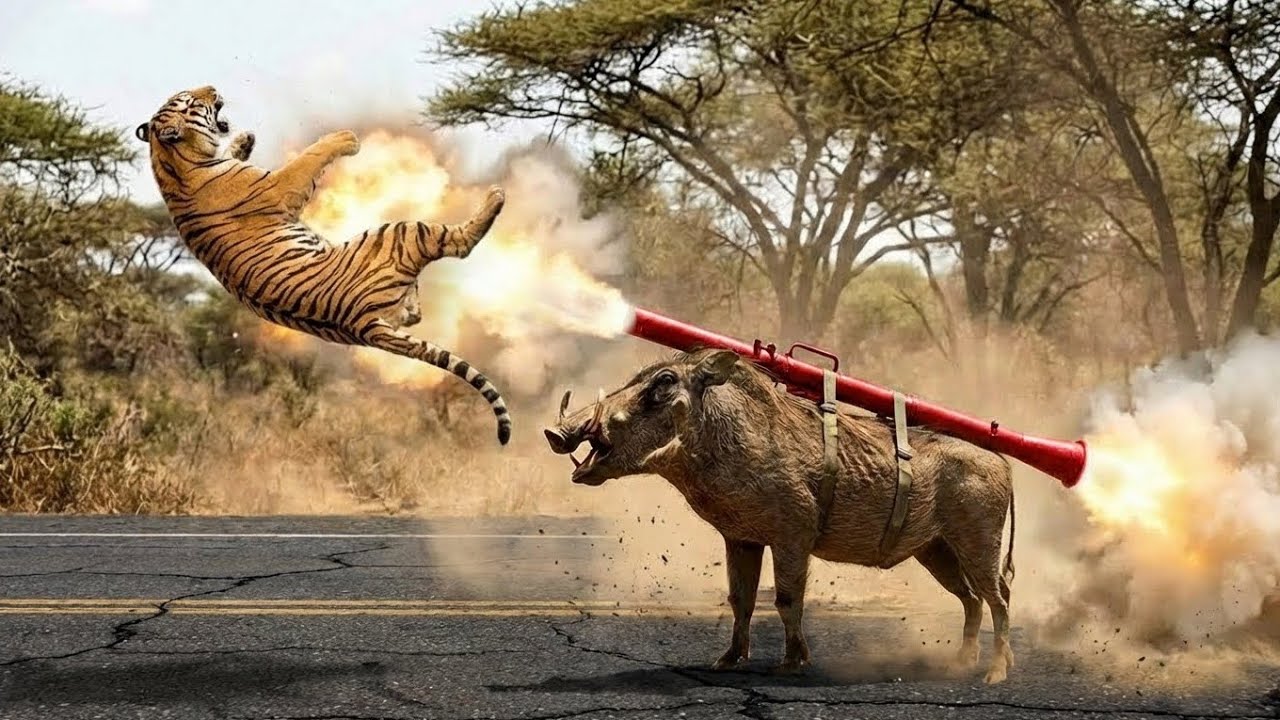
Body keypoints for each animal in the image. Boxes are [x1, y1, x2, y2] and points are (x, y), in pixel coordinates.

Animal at [136, 85, 512, 444]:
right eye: (189, 99)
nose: (213, 88)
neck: (172, 162)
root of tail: (363, 325)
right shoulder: (280, 187)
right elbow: (310, 157)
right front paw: (346, 137)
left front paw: (244, 141)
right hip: (400, 231)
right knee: (458, 243)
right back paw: (495, 197)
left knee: (414, 312)